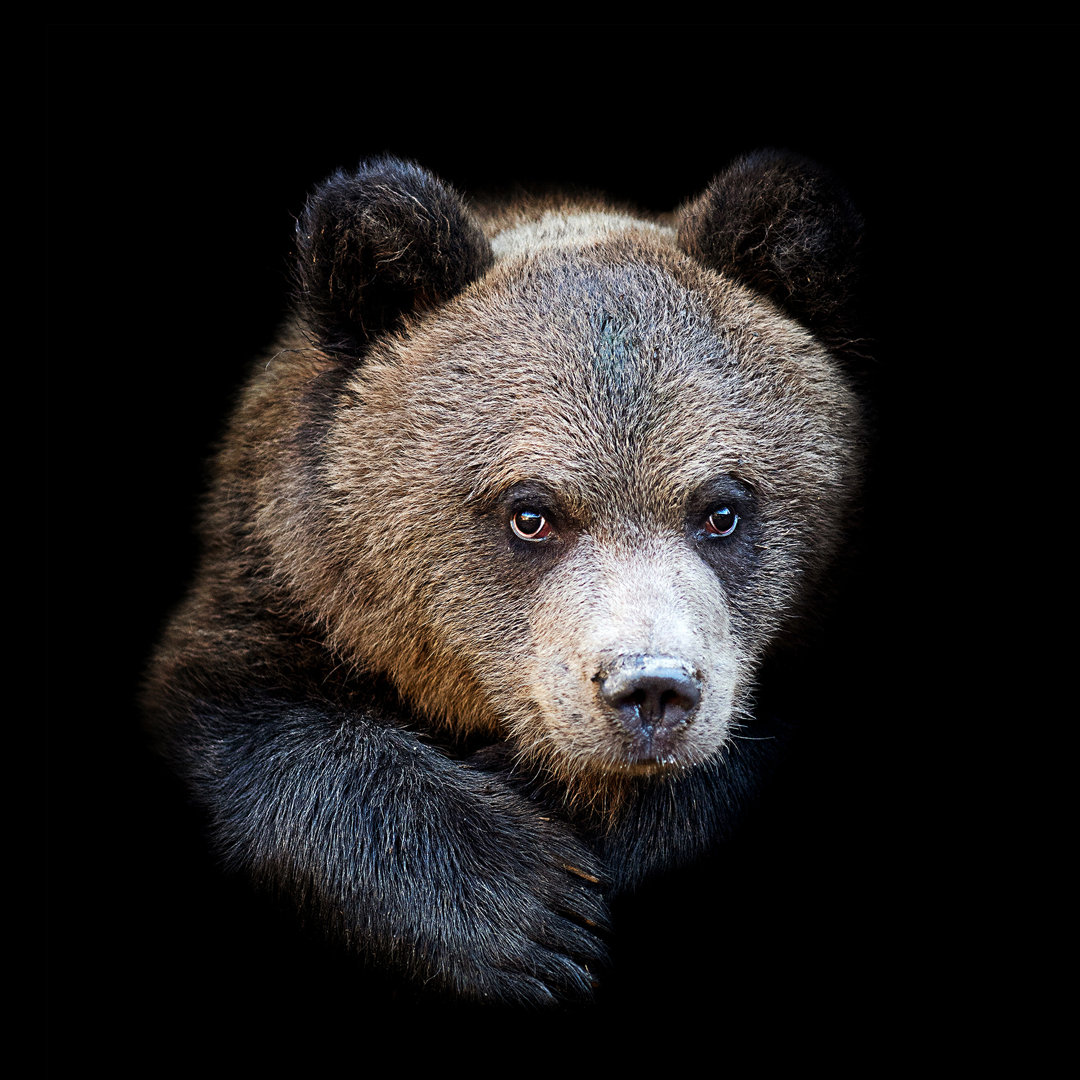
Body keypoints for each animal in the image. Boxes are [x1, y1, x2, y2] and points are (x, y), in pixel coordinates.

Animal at [145, 150, 868, 1002]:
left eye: (722, 509)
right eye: (531, 513)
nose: (651, 689)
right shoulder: (279, 588)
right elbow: (246, 715)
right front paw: (530, 912)